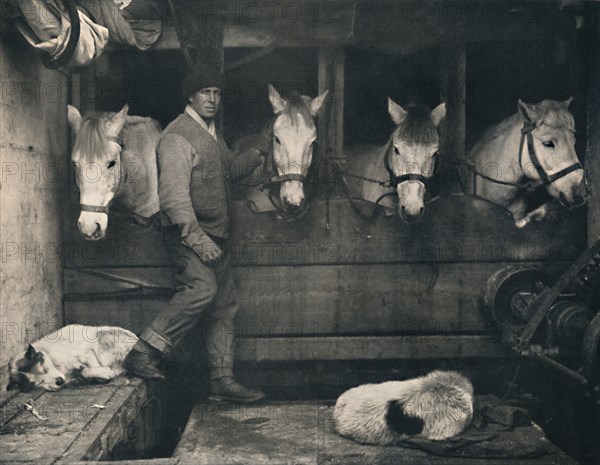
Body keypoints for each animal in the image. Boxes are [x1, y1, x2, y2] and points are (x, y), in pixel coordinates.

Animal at [6, 322, 138, 392]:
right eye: (39, 382)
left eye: (44, 369)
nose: (59, 381)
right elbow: (83, 372)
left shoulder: (86, 352)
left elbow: (89, 367)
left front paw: (104, 373)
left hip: (105, 336)